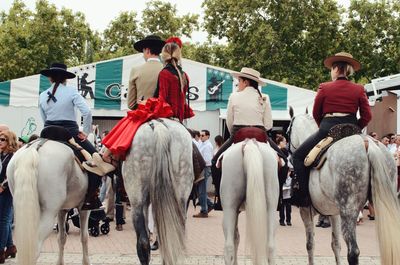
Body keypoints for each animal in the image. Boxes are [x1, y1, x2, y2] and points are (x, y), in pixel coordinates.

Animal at [286, 108, 400, 262]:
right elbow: (336, 244)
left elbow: (310, 245)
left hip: (349, 209)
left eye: (287, 132)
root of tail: (367, 144)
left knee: (353, 252)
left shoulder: (306, 211)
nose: (289, 157)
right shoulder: (334, 213)